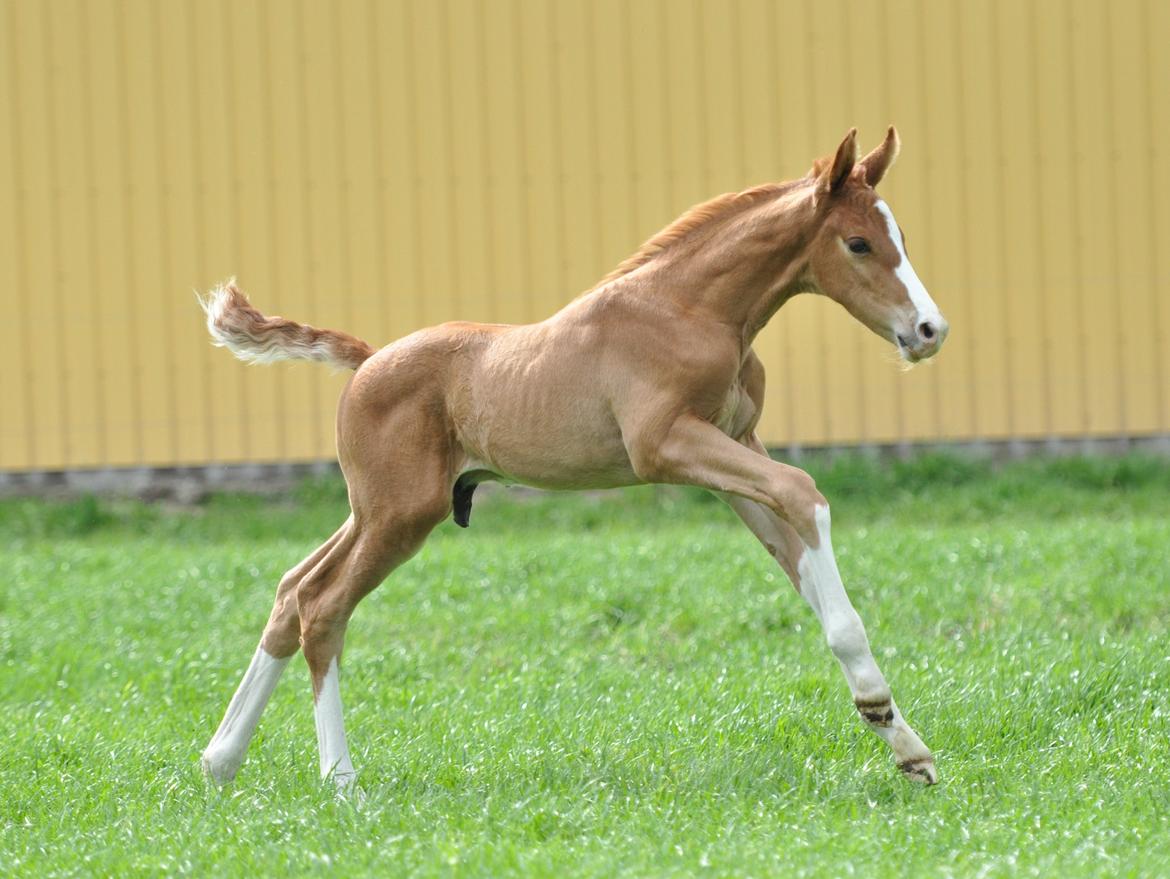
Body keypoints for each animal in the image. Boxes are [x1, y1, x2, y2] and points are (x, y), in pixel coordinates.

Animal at [198, 125, 950, 791]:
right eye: (858, 243)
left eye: (903, 239)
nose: (929, 330)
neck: (691, 309)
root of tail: (368, 358)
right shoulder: (666, 446)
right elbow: (805, 494)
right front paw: (876, 700)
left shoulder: (735, 448)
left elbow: (797, 556)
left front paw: (907, 748)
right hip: (400, 515)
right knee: (323, 607)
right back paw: (340, 778)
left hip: (378, 509)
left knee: (292, 589)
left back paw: (220, 760)